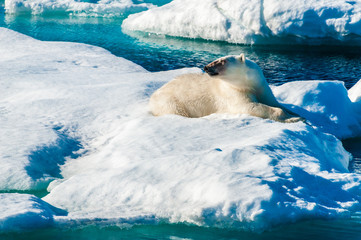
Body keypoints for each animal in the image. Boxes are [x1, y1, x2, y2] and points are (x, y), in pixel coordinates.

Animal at [148, 53, 302, 123]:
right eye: (216, 59)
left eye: (222, 61)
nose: (206, 67)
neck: (248, 84)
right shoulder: (232, 93)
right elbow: (249, 106)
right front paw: (294, 119)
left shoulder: (262, 87)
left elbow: (274, 102)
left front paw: (296, 113)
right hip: (170, 101)